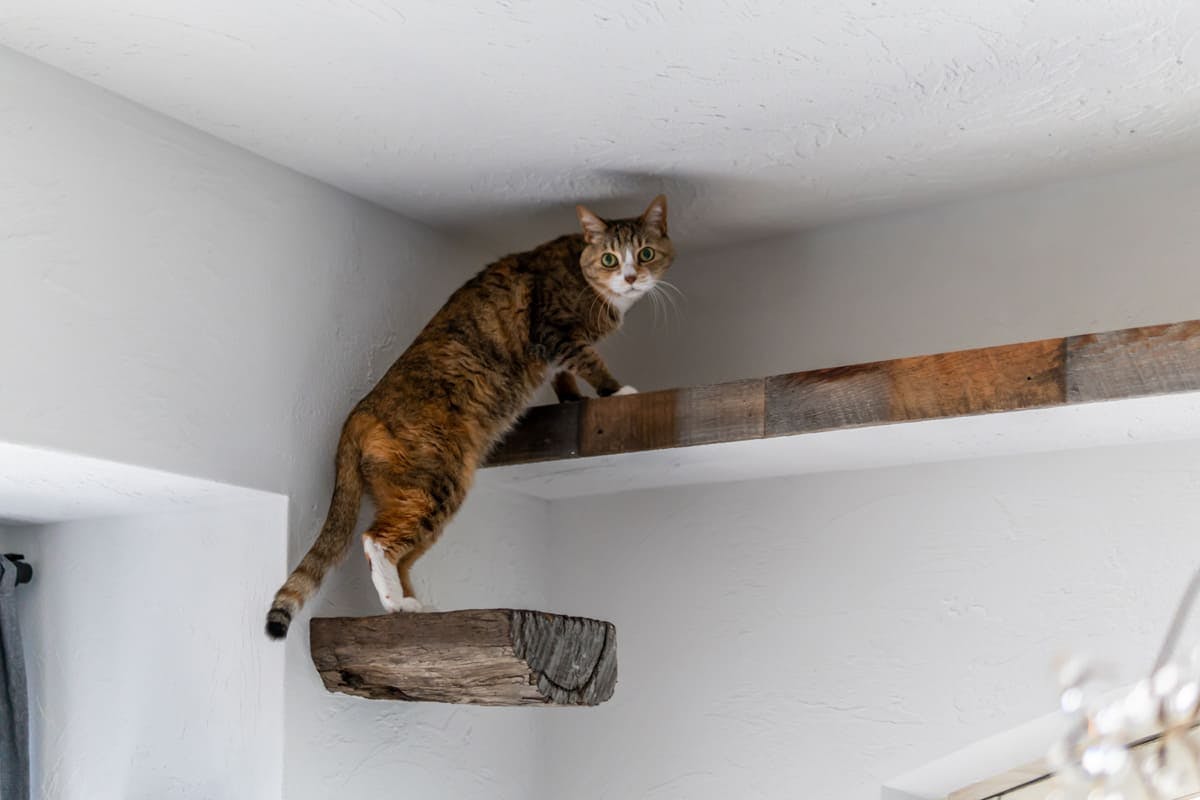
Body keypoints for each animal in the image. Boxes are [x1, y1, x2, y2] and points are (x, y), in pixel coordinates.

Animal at [265, 195, 676, 638]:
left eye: (646, 254)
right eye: (610, 259)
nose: (631, 277)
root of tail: (358, 413)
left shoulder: (556, 351)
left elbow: (564, 376)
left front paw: (571, 400)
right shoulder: (555, 332)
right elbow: (588, 360)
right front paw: (615, 391)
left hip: (421, 496)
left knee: (403, 551)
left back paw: (411, 606)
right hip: (436, 481)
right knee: (377, 540)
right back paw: (394, 600)